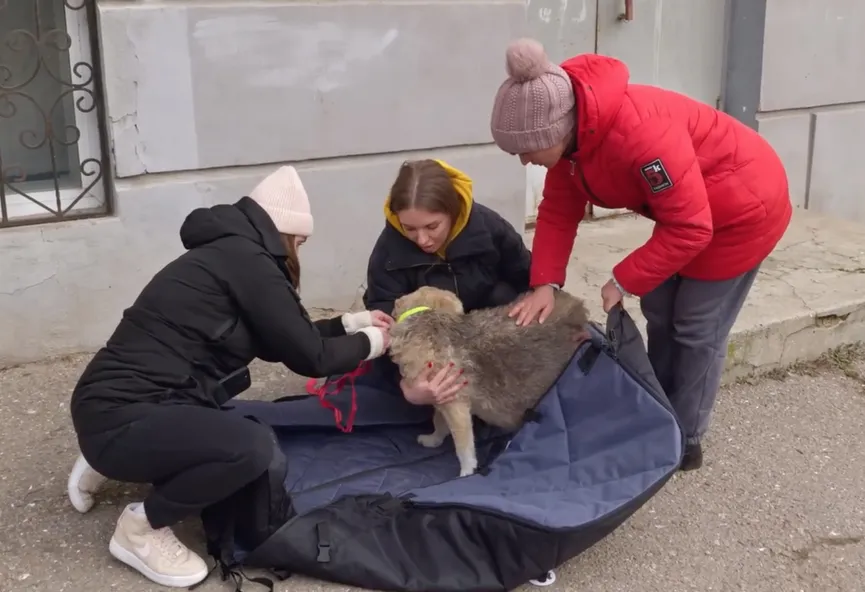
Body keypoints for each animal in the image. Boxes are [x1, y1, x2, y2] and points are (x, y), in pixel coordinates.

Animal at [388, 286, 592, 476]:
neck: (425, 318)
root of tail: (578, 310)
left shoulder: (457, 408)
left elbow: (464, 449)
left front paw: (466, 473)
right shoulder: (442, 397)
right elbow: (439, 423)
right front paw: (433, 440)